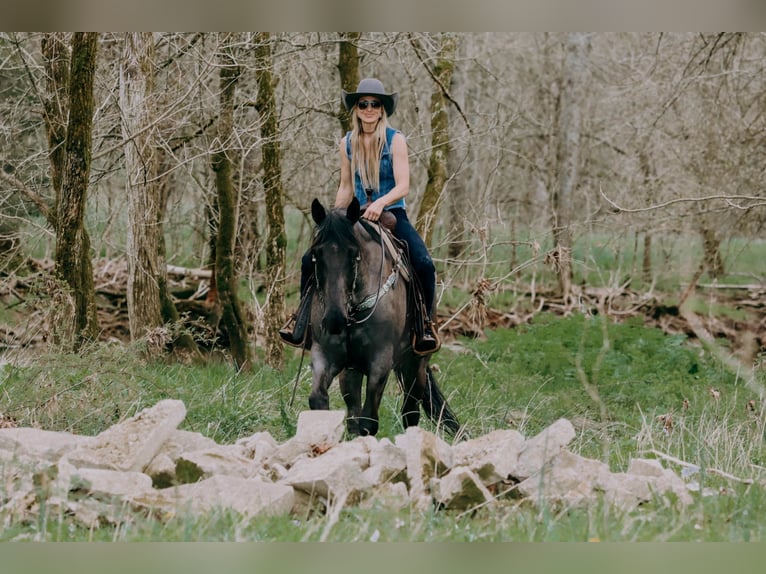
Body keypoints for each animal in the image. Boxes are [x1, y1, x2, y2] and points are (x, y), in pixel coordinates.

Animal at [306, 198, 462, 440]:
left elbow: (369, 421)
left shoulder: (381, 361)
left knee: (410, 411)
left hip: (415, 365)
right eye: (316, 254)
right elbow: (318, 401)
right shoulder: (325, 353)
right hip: (351, 370)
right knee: (353, 410)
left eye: (354, 254)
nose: (334, 319)